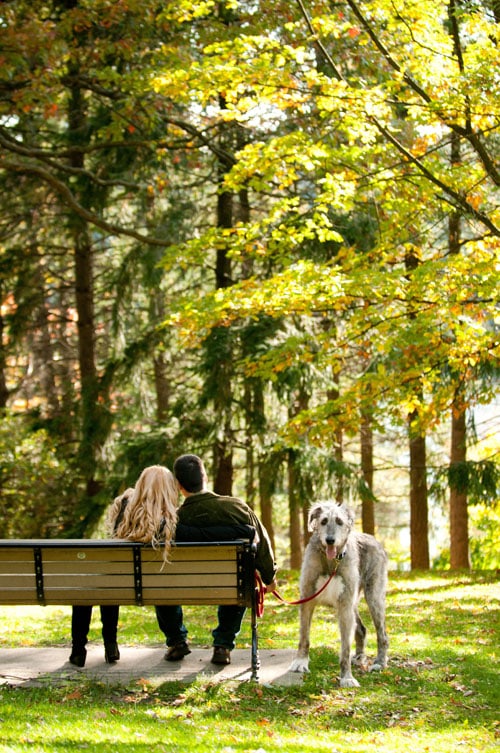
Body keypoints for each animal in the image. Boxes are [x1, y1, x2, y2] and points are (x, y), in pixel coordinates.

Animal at [290, 502, 390, 684]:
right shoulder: (307, 599)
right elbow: (304, 637)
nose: (330, 540)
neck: (331, 562)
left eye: (339, 522)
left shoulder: (344, 606)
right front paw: (300, 662)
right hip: (354, 602)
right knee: (362, 629)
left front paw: (346, 677)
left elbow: (345, 647)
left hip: (373, 597)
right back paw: (359, 657)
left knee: (382, 634)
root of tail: (374, 539)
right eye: (323, 521)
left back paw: (379, 662)